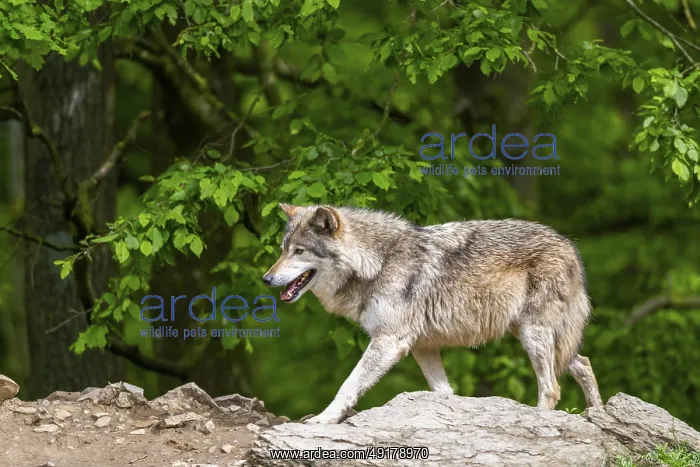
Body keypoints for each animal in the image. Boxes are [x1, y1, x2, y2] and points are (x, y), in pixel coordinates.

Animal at [263, 204, 603, 424]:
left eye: (299, 252)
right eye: (282, 250)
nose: (266, 278)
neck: (378, 262)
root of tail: (569, 245)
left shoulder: (389, 342)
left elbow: (348, 385)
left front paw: (323, 419)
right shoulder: (422, 347)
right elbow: (444, 392)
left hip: (534, 336)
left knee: (552, 388)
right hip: (539, 337)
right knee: (584, 363)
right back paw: (597, 413)